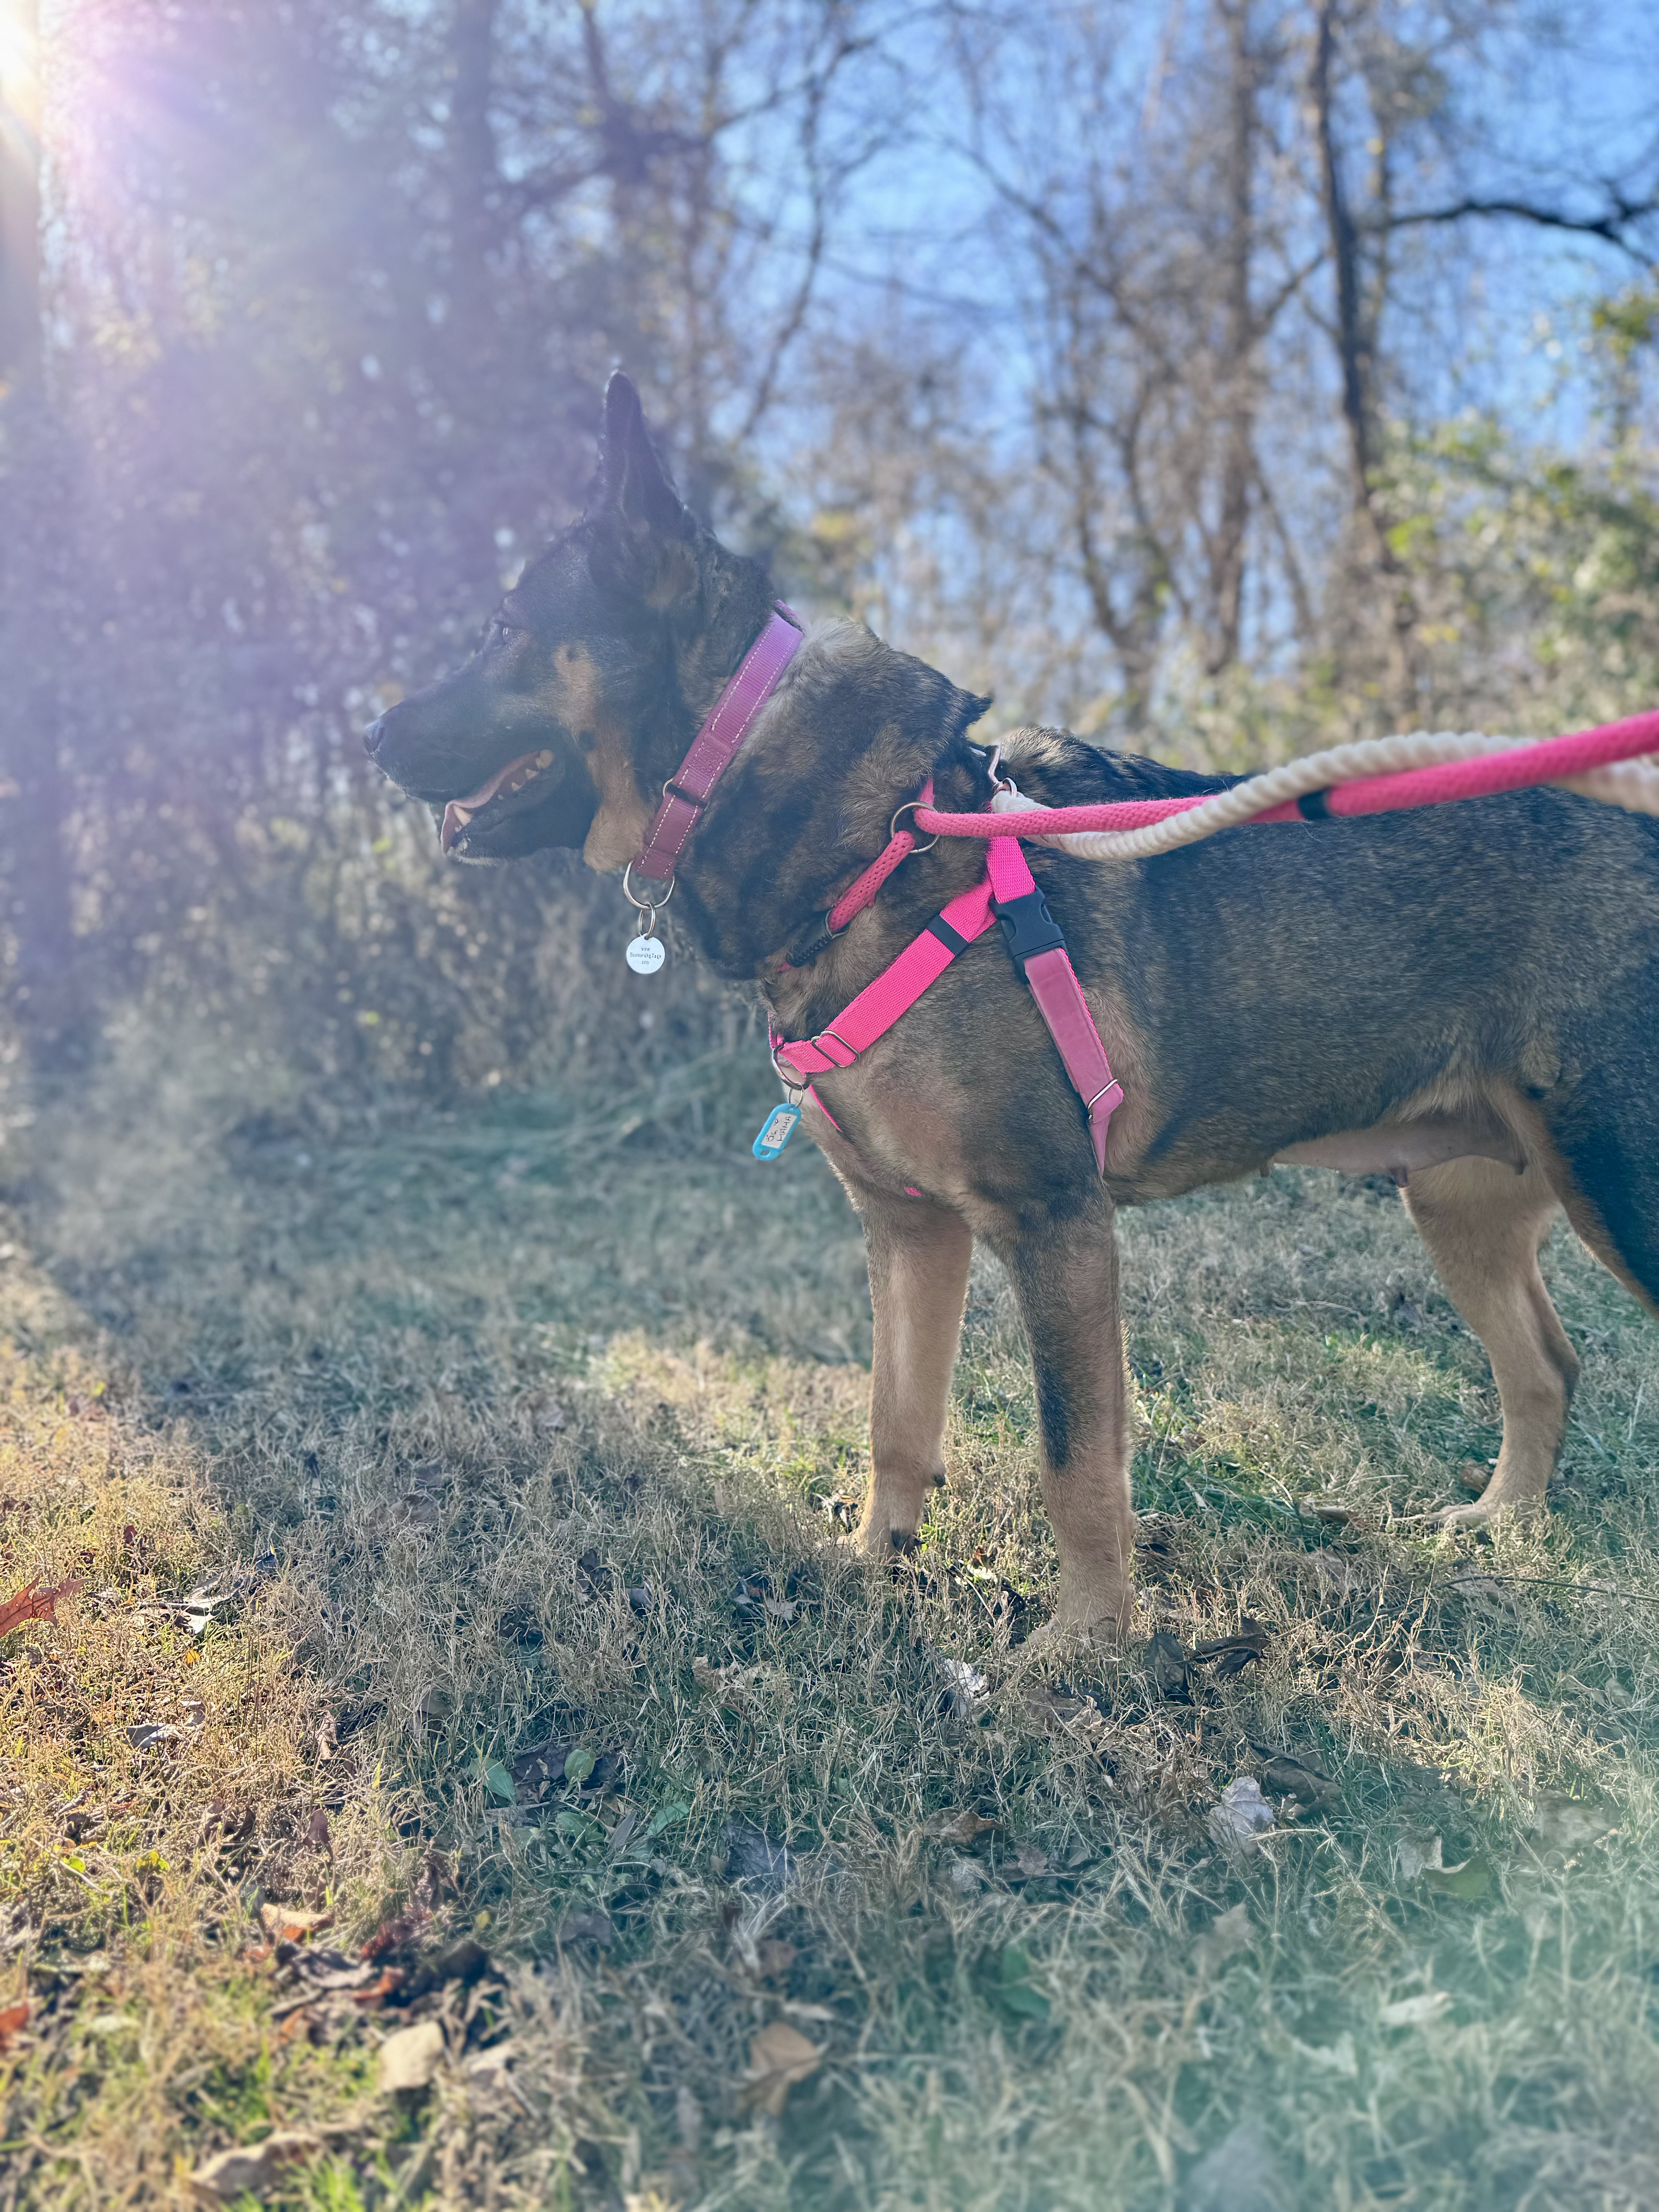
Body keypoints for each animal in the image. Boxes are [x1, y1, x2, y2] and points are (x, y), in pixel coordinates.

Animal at [366, 372, 1659, 1638]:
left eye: (502, 631)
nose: (371, 731)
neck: (877, 848)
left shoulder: (1054, 1226)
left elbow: (1075, 1459)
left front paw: (1083, 1645)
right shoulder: (910, 1234)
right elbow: (896, 1421)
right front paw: (875, 1569)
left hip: (1615, 1192)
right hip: (1461, 1203)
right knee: (1546, 1368)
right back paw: (1501, 1526)